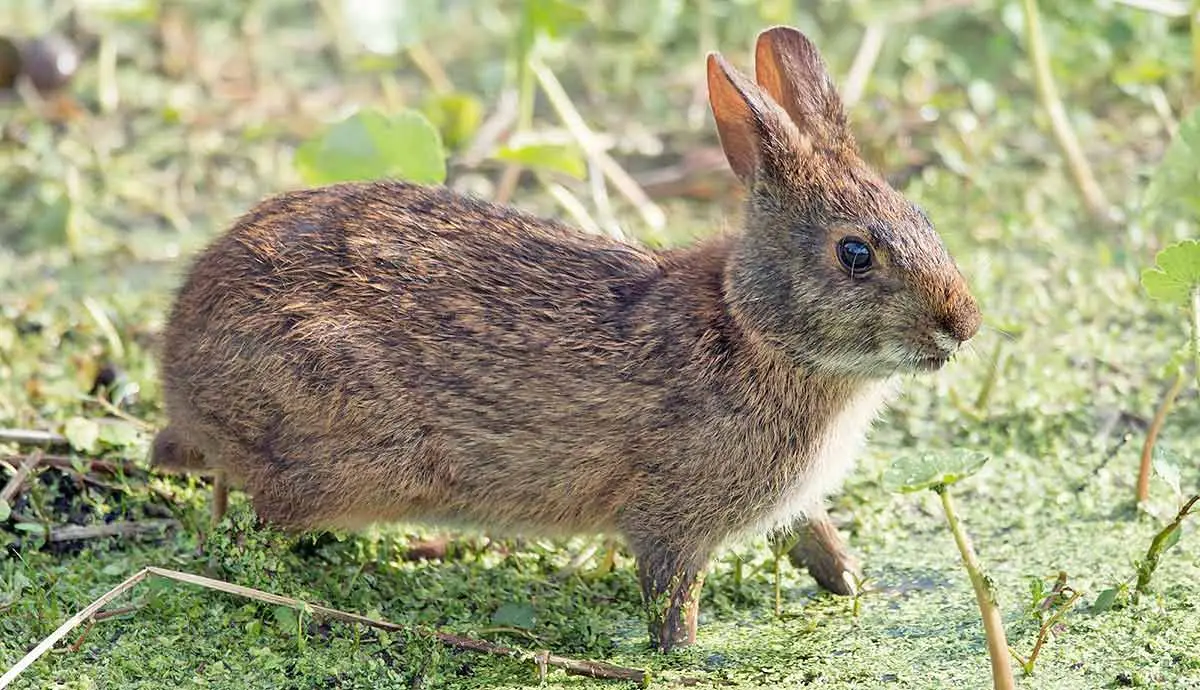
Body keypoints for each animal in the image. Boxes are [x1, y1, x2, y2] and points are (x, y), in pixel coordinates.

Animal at [152, 28, 974, 652]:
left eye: (923, 214)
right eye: (855, 254)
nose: (961, 325)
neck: (753, 330)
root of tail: (177, 364)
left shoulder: (795, 502)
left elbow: (819, 541)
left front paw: (862, 585)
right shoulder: (673, 520)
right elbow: (671, 599)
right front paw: (687, 660)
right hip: (336, 455)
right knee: (248, 524)